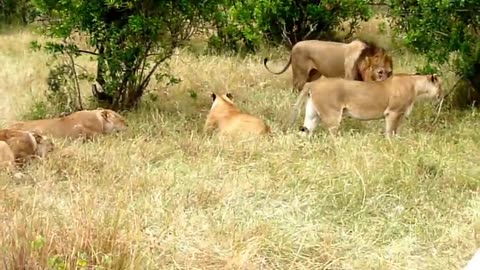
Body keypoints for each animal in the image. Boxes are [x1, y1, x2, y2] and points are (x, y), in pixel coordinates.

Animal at [262, 39, 394, 92]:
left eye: (390, 72)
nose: (388, 85)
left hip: (313, 74)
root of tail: (294, 46)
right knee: (295, 88)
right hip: (300, 74)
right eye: (380, 72)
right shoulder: (349, 78)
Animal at [288, 73, 442, 137]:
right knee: (332, 137)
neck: (416, 86)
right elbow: (390, 133)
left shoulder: (401, 115)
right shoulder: (392, 113)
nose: (442, 96)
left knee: (304, 132)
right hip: (332, 115)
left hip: (312, 115)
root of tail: (312, 83)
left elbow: (397, 132)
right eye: (441, 85)